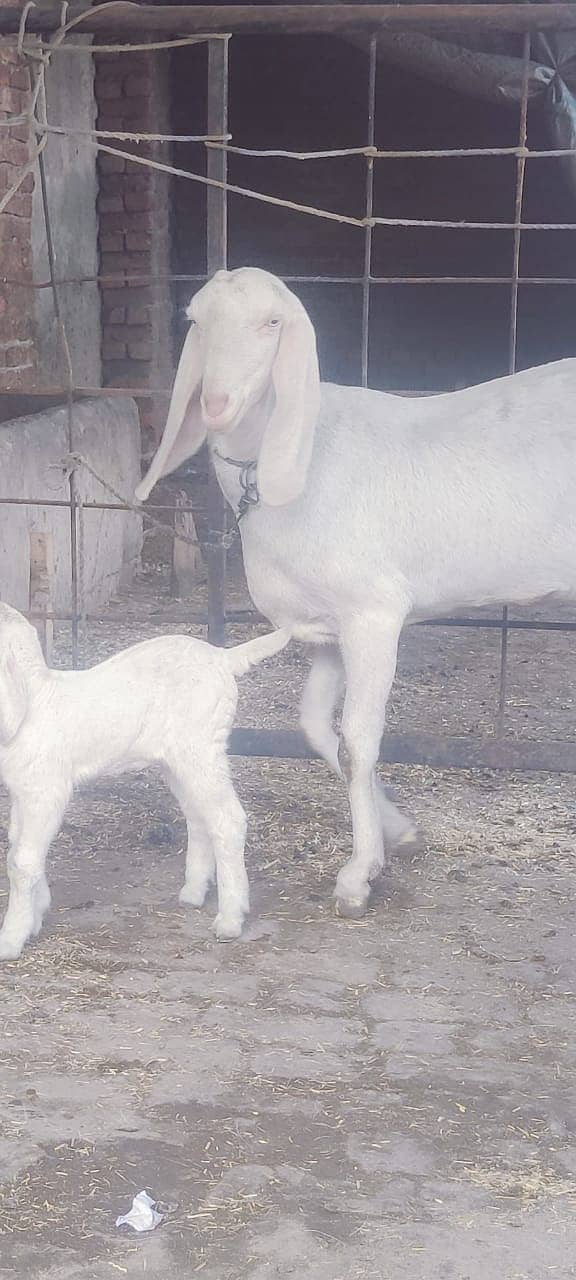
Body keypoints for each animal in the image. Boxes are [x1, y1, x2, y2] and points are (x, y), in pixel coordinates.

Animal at [136, 262, 576, 921]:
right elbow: (317, 728)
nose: (214, 404)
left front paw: (358, 875)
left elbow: (360, 739)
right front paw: (400, 832)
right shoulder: (325, 630)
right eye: (196, 319)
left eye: (272, 322)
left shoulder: (373, 614)